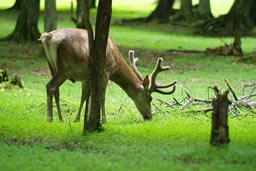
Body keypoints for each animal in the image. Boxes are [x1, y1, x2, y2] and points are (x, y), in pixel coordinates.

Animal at [39, 28, 176, 122]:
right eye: (150, 98)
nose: (149, 116)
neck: (116, 61)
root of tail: (49, 37)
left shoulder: (86, 76)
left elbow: (85, 95)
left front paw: (78, 119)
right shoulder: (106, 71)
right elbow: (102, 96)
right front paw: (104, 120)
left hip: (52, 65)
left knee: (55, 90)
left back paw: (60, 118)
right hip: (66, 68)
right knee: (50, 86)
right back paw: (50, 118)